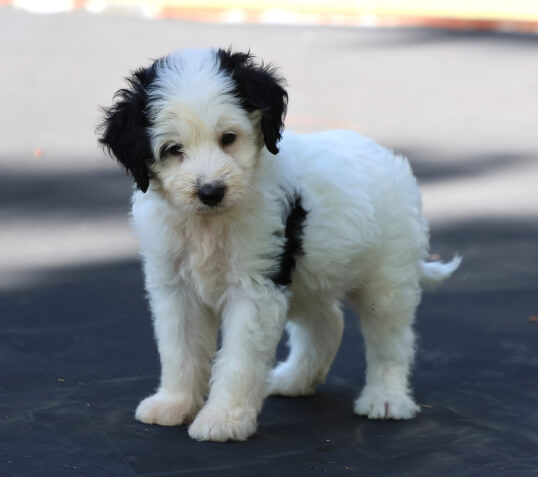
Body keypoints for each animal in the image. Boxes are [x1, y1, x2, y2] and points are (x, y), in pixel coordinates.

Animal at [98, 46, 458, 440]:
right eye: (173, 149)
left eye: (228, 138)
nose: (210, 191)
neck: (209, 222)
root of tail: (391, 160)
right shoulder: (176, 288)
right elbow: (180, 350)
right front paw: (174, 404)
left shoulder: (254, 287)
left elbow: (238, 358)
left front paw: (223, 420)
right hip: (309, 277)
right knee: (327, 323)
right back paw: (295, 380)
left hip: (387, 277)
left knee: (390, 339)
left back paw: (387, 399)